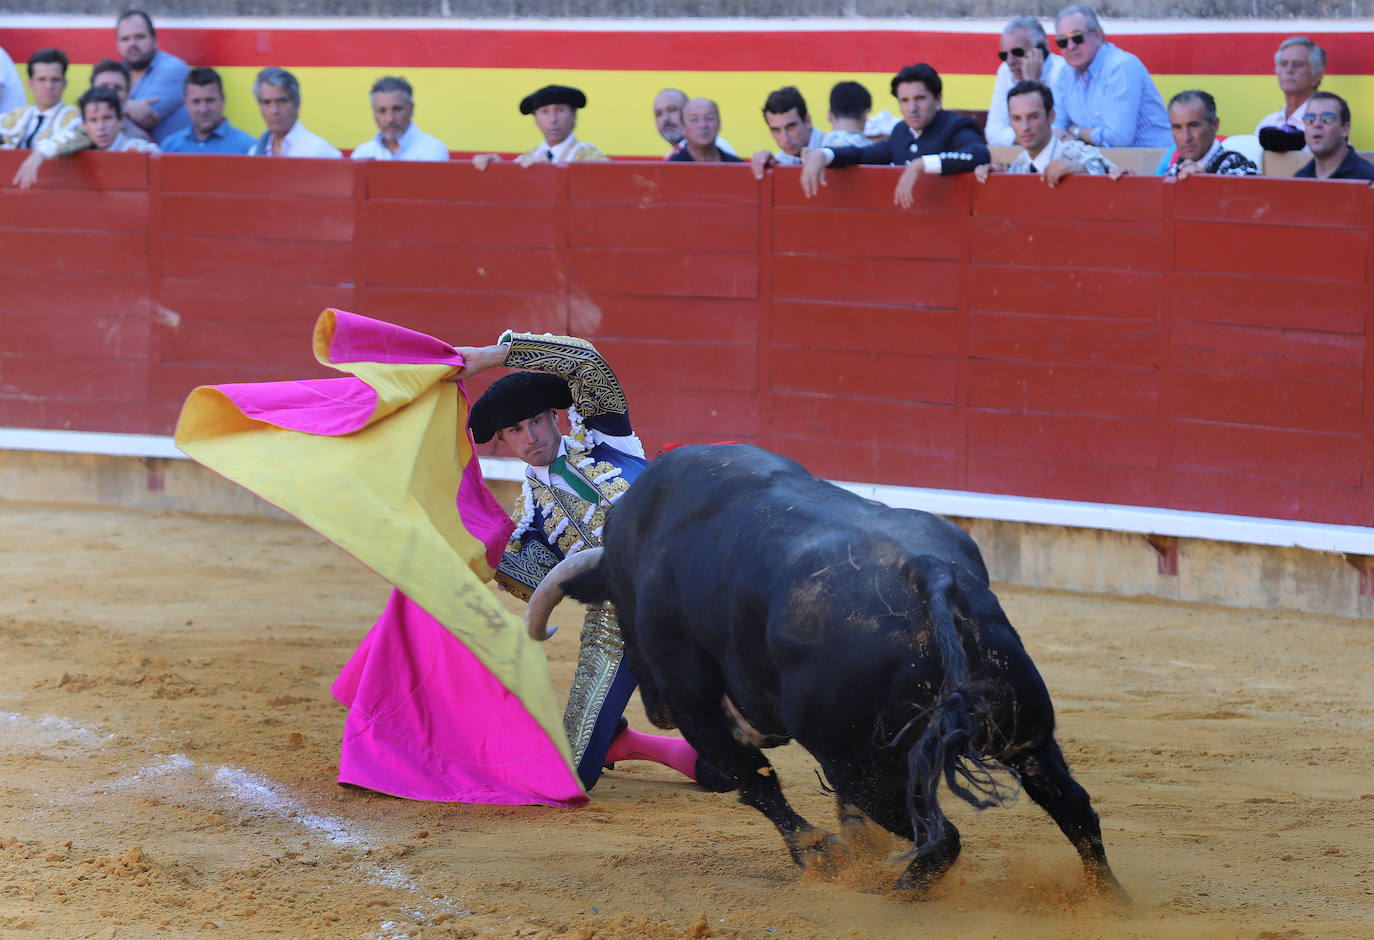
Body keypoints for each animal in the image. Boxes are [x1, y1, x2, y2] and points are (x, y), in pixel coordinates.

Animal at [527, 445, 1126, 890]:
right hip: (1022, 727)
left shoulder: (698, 706)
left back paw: (894, 894)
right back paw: (1110, 903)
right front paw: (850, 850)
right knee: (1074, 809)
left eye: (619, 611)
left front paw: (821, 856)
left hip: (862, 765)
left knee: (941, 838)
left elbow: (755, 783)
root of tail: (929, 573)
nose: (656, 710)